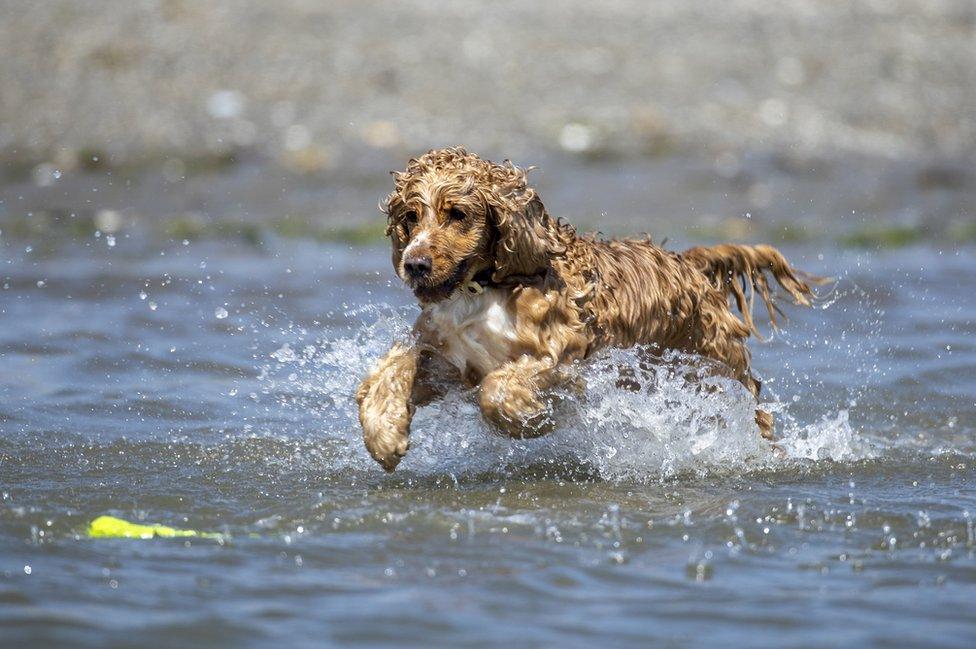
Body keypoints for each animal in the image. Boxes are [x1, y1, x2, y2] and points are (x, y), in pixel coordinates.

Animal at [354, 147, 820, 470]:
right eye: (410, 217)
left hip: (713, 370)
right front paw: (384, 434)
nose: (414, 264)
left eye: (457, 214)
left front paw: (529, 418)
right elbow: (394, 365)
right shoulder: (448, 360)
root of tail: (688, 263)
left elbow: (498, 389)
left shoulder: (564, 351)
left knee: (756, 414)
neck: (482, 290)